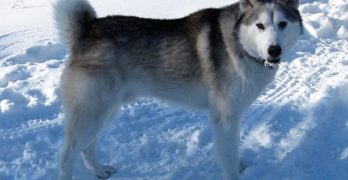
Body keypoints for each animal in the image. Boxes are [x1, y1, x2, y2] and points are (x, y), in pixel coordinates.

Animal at [53, 0, 302, 179]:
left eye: (282, 24)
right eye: (260, 25)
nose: (274, 50)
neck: (239, 43)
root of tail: (86, 29)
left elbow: (232, 152)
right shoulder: (225, 117)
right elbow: (229, 159)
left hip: (104, 112)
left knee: (87, 148)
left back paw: (100, 171)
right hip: (92, 113)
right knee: (66, 158)